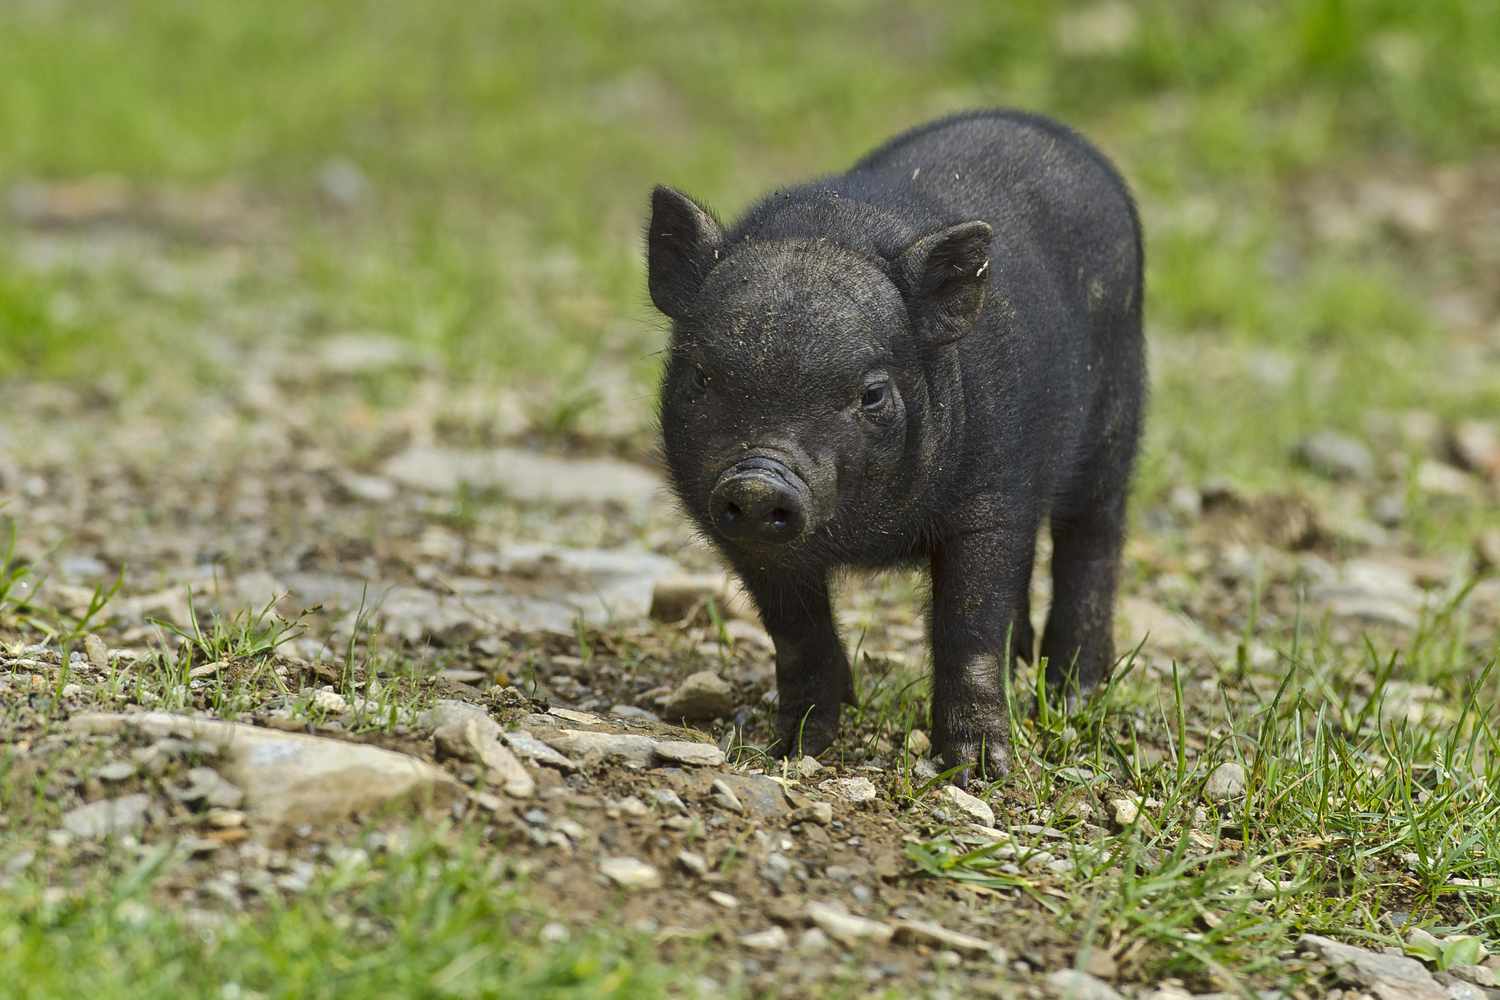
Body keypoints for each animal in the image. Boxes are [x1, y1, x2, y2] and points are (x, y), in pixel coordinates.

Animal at [647, 109, 1144, 781]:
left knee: (1092, 543)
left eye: (872, 393)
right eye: (700, 376)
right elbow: (796, 634)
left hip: (1116, 425)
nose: (757, 479)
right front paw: (795, 748)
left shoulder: (992, 495)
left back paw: (1074, 694)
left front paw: (978, 770)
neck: (870, 540)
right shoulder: (741, 537)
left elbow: (968, 627)